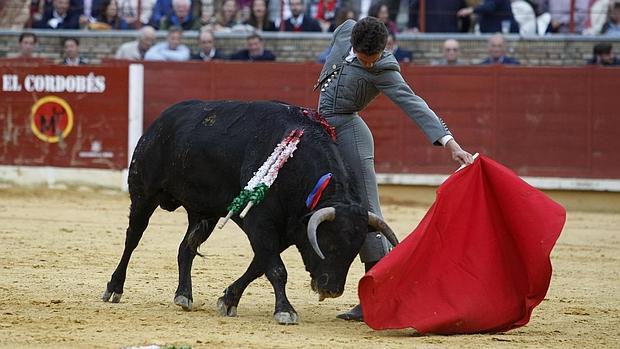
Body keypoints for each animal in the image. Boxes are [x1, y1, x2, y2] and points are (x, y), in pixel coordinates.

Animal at [101, 100, 398, 324]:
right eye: (328, 242)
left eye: (355, 249)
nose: (332, 290)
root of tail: (161, 120)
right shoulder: (260, 221)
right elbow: (276, 268)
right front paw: (285, 311)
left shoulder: (288, 229)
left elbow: (259, 265)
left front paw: (228, 299)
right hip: (143, 194)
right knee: (132, 239)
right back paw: (114, 289)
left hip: (204, 213)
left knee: (186, 248)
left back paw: (184, 295)